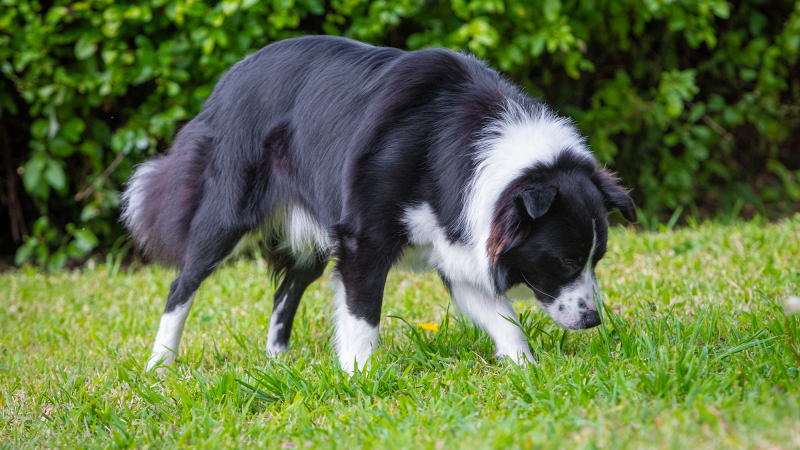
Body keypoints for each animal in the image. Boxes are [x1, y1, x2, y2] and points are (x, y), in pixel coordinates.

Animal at [122, 36, 636, 372]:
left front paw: (524, 368)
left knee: (286, 290)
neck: (459, 147)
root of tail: (224, 84)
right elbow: (362, 312)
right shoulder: (362, 238)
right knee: (183, 283)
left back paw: (278, 362)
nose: (593, 320)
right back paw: (159, 365)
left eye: (597, 259)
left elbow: (501, 315)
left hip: (312, 230)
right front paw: (360, 377)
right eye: (566, 260)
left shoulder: (455, 238)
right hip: (227, 213)